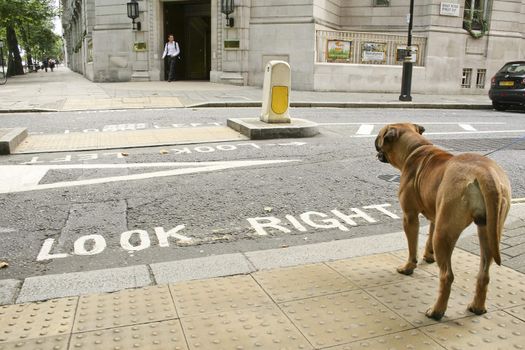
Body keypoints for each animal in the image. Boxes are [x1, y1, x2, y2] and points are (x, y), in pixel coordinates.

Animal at [374, 122, 510, 320]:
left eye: (380, 135)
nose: (374, 142)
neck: (415, 149)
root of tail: (485, 173)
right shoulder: (434, 216)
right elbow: (428, 238)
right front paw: (428, 256)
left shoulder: (410, 216)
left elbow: (412, 247)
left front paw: (408, 267)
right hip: (488, 231)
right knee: (484, 273)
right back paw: (477, 307)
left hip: (444, 232)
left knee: (447, 276)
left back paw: (437, 310)